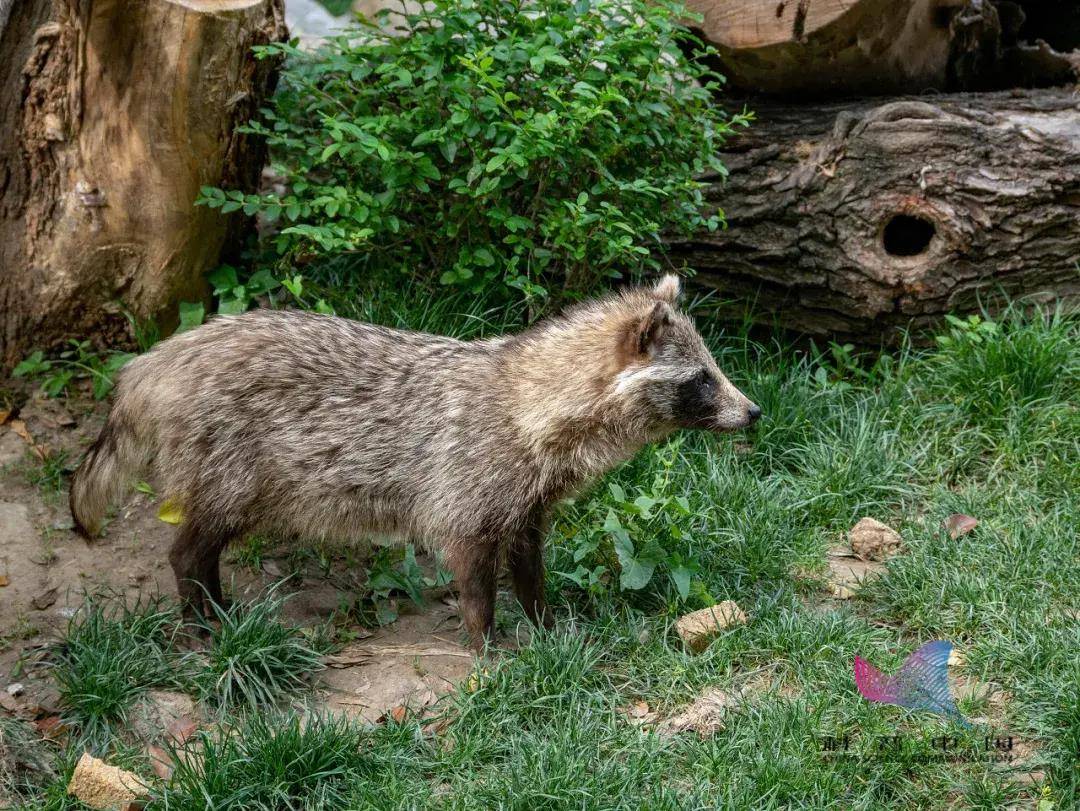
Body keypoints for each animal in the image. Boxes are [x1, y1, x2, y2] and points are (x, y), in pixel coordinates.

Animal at [69, 276, 760, 652]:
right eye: (702, 379)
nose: (753, 412)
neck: (528, 400)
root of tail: (156, 360)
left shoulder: (525, 504)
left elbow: (530, 571)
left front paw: (547, 626)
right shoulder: (466, 494)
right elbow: (476, 585)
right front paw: (486, 651)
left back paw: (218, 608)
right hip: (231, 468)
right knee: (189, 550)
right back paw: (202, 617)